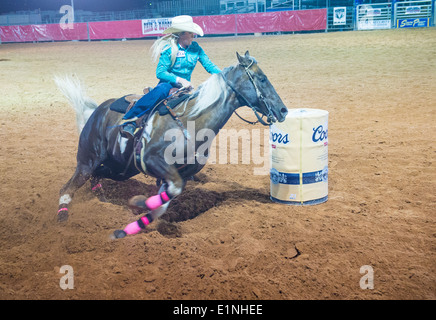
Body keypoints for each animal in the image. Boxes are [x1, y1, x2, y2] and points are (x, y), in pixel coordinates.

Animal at [56, 51, 288, 239]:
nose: (283, 110)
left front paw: (138, 221)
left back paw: (100, 198)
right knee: (68, 187)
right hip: (88, 161)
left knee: (97, 176)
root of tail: (97, 111)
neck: (191, 121)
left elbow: (167, 198)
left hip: (121, 169)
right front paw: (140, 204)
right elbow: (170, 192)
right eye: (262, 78)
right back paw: (62, 215)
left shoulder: (181, 173)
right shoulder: (153, 160)